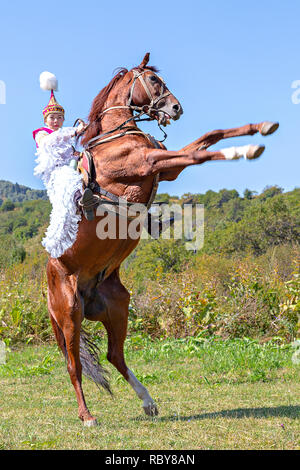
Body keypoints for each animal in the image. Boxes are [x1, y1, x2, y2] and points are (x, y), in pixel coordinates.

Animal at [47, 52, 278, 426]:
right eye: (154, 81)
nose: (175, 107)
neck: (117, 134)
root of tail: (49, 279)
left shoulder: (166, 168)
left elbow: (209, 136)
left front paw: (260, 128)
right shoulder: (149, 161)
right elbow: (200, 153)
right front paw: (246, 149)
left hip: (117, 306)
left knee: (114, 355)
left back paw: (147, 401)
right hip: (69, 314)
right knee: (74, 365)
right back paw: (87, 416)